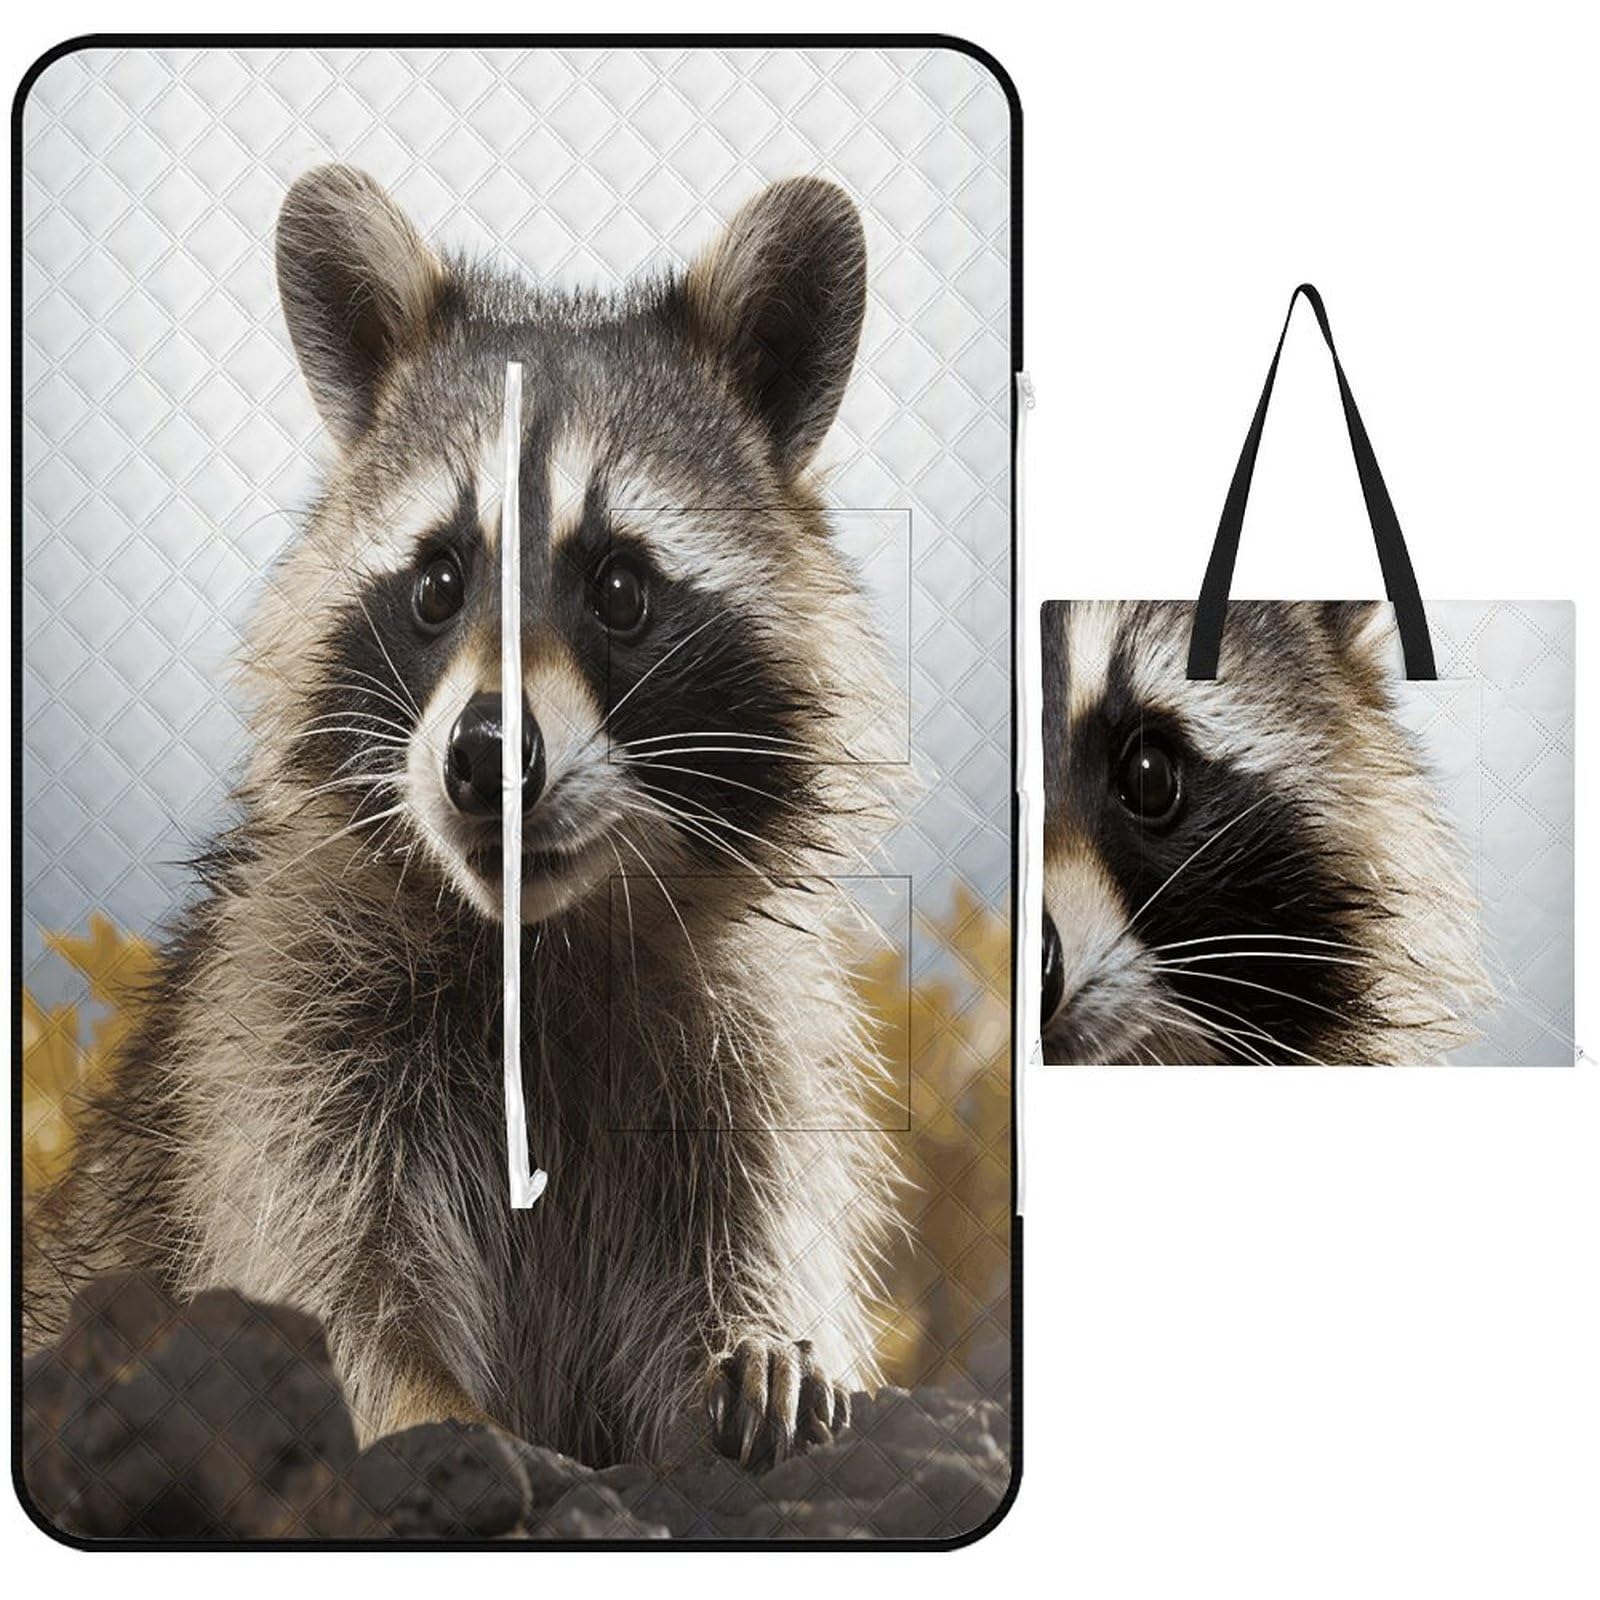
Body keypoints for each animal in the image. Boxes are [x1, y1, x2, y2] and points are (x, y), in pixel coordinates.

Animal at [25, 165, 905, 1470]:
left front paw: (762, 1337)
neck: (537, 938)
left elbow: (741, 1243)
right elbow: (326, 1291)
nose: (487, 755)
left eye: (620, 586)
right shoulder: (283, 1037)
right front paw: (435, 1410)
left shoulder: (743, 1057)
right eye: (439, 581)